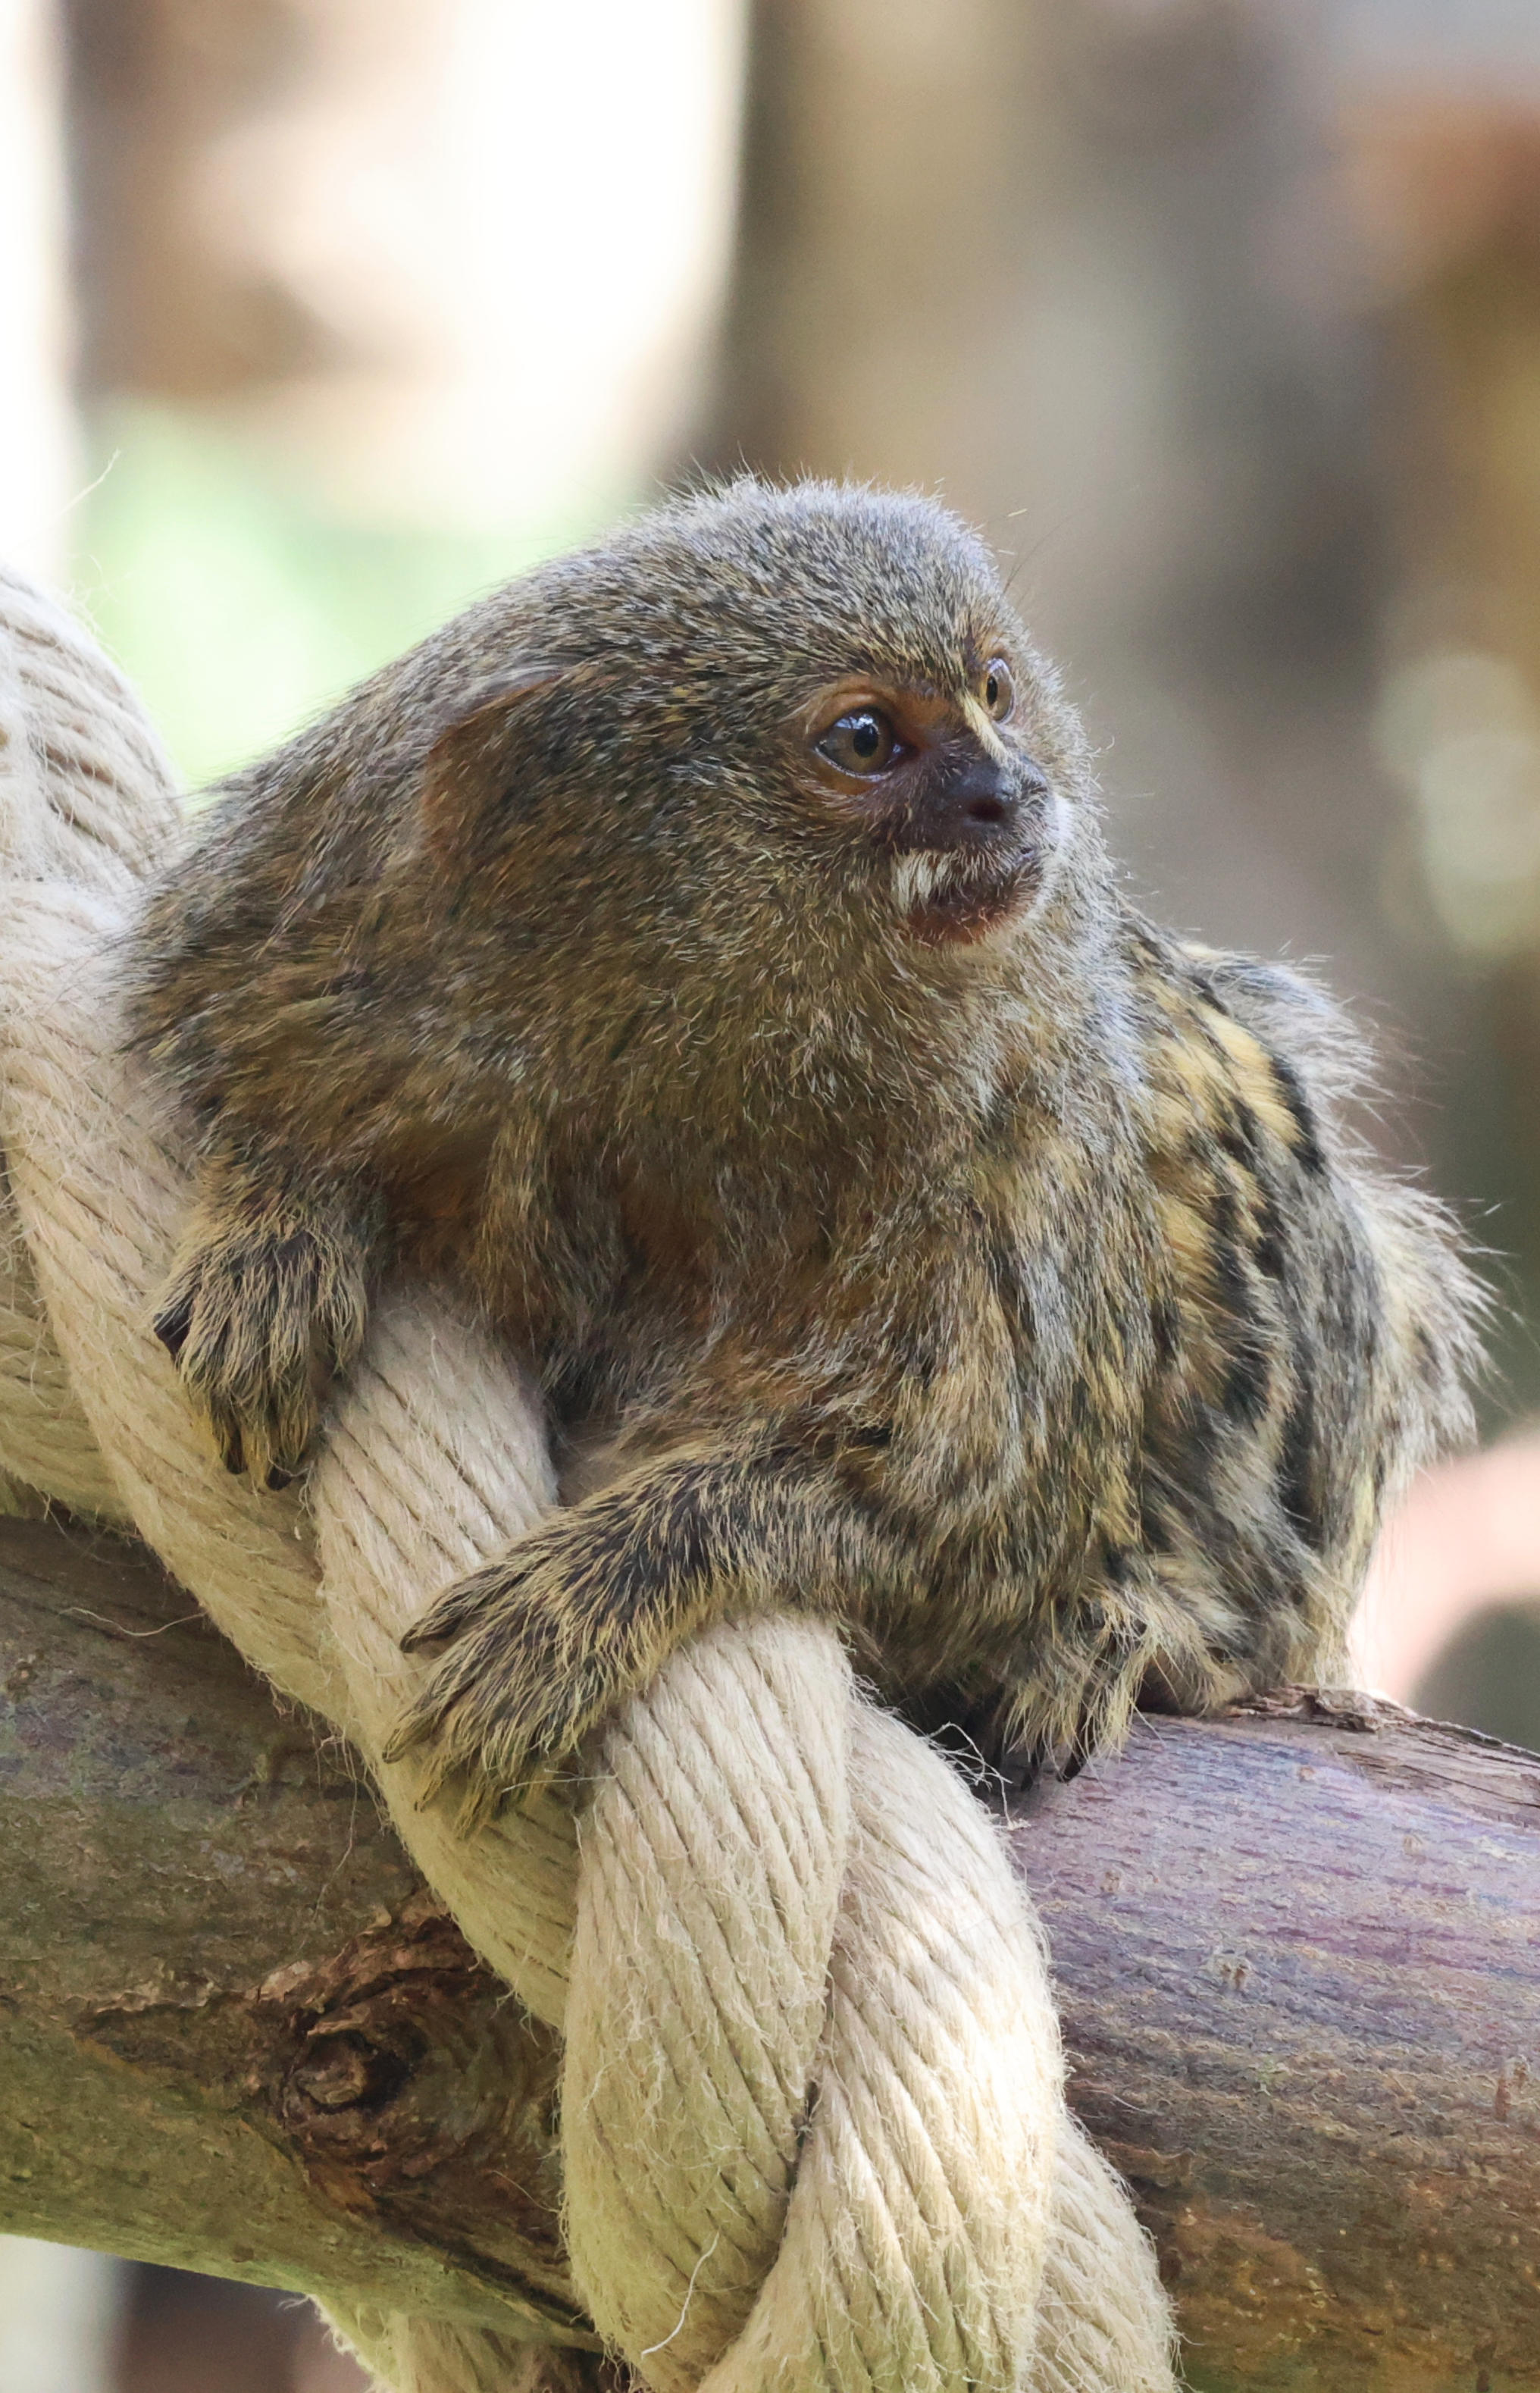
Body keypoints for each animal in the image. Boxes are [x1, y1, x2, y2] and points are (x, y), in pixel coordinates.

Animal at [126, 479, 1482, 1807]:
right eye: (868, 740)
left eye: (995, 692)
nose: (1008, 793)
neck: (663, 1029)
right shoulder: (302, 945)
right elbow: (264, 1102)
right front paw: (278, 1243)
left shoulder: (1025, 1161)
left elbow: (953, 1516)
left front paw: (590, 1592)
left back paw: (1129, 1627)